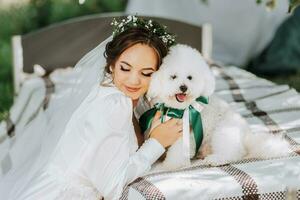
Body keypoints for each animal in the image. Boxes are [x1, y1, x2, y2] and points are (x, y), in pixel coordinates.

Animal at [145, 43, 290, 170]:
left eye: (190, 77)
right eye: (173, 77)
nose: (183, 87)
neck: (178, 110)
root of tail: (246, 137)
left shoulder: (184, 136)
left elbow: (177, 154)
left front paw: (168, 166)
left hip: (223, 131)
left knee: (234, 153)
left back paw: (216, 159)